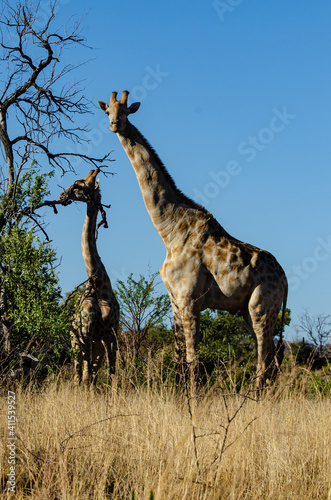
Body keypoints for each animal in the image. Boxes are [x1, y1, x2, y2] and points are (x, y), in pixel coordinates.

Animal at [59, 170, 120, 388]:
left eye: (79, 185)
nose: (61, 196)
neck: (98, 281)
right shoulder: (86, 332)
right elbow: (86, 378)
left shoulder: (110, 333)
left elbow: (111, 375)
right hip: (75, 342)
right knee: (79, 375)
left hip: (97, 344)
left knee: (91, 374)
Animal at [99, 92, 288, 392]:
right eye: (108, 111)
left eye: (126, 111)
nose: (115, 124)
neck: (169, 231)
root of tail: (284, 277)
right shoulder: (175, 301)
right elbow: (179, 358)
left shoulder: (189, 299)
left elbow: (192, 359)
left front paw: (194, 399)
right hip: (246, 311)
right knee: (272, 356)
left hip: (261, 306)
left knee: (265, 357)